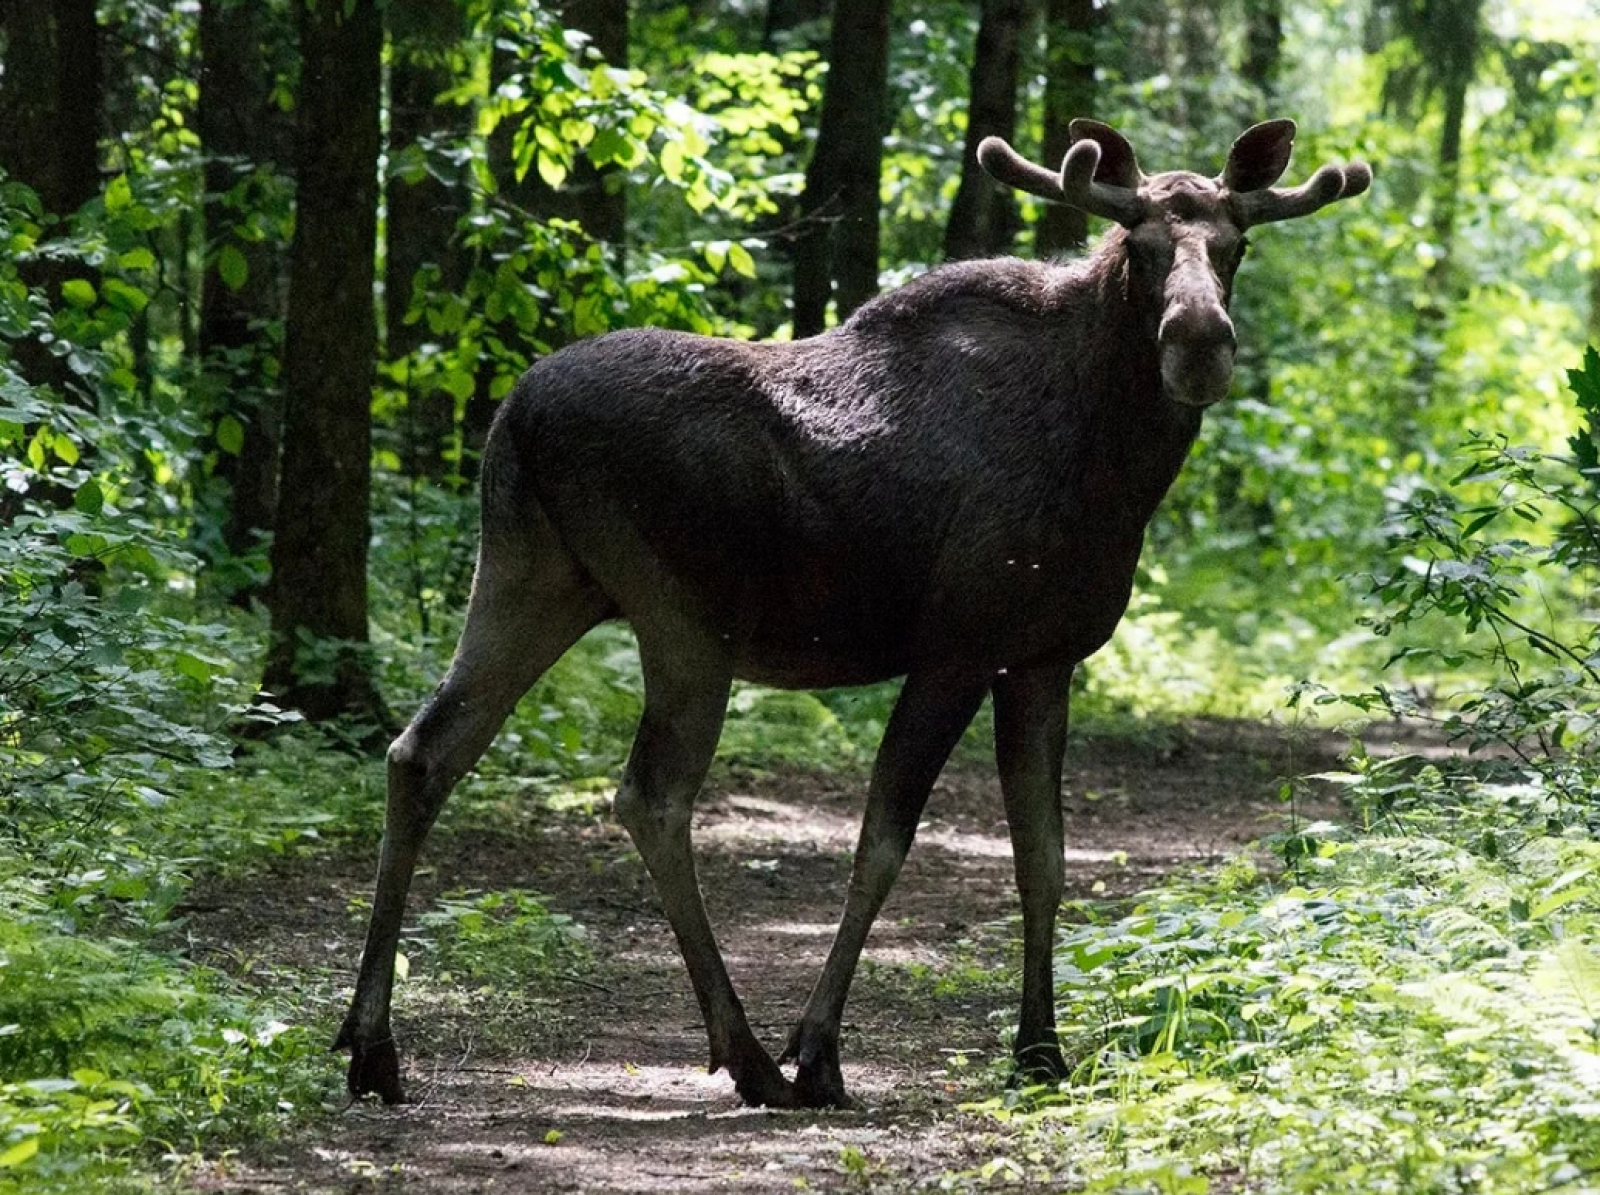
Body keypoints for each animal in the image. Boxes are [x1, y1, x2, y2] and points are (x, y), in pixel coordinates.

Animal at [331, 119, 1369, 1113]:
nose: (1199, 340)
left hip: (531, 577)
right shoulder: (958, 646)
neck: (1115, 467)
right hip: (683, 619)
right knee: (650, 795)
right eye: (1141, 244)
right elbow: (883, 843)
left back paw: (371, 1044)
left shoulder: (1044, 658)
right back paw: (752, 1056)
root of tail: (515, 416)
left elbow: (1045, 857)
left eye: (1234, 245)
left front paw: (1041, 1050)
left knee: (422, 750)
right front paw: (821, 1049)